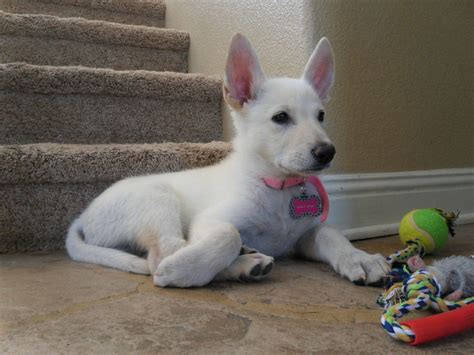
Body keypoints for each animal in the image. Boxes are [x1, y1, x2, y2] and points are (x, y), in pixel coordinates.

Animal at [67, 33, 392, 288]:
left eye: (321, 116)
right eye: (281, 117)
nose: (327, 152)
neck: (277, 187)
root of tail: (83, 216)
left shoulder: (303, 237)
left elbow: (330, 233)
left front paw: (359, 258)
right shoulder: (208, 221)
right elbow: (229, 233)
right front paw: (186, 268)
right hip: (156, 202)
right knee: (160, 256)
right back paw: (230, 265)